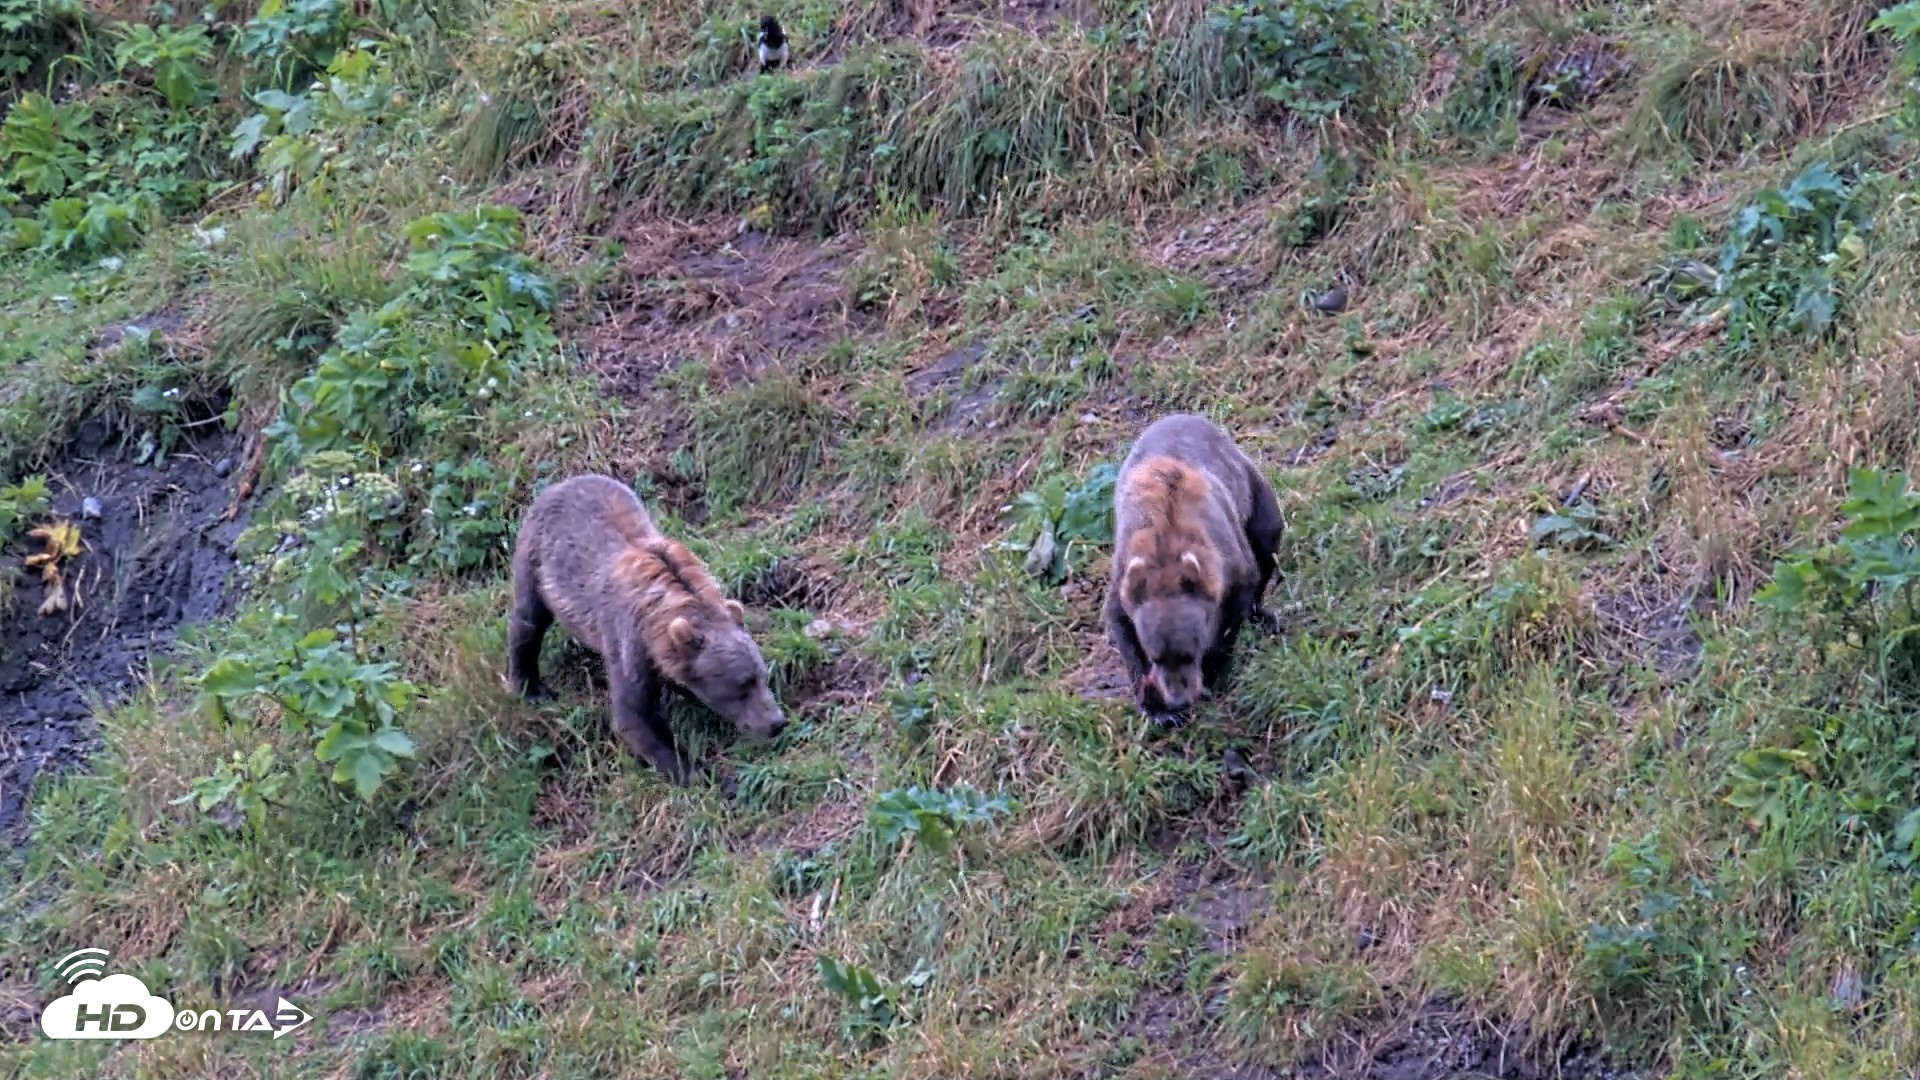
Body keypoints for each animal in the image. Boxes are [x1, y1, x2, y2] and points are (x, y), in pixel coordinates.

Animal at [504, 473, 786, 784]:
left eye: (763, 676)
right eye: (741, 687)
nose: (776, 723)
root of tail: (558, 484)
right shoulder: (629, 639)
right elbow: (635, 713)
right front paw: (701, 773)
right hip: (536, 559)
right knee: (528, 621)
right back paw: (530, 686)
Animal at [1103, 413, 1284, 723]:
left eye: (1188, 653)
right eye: (1156, 656)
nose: (1178, 700)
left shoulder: (1228, 560)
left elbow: (1233, 612)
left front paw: (1212, 675)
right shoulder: (1126, 570)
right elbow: (1123, 626)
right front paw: (1157, 708)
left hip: (1251, 487)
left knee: (1267, 538)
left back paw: (1265, 616)